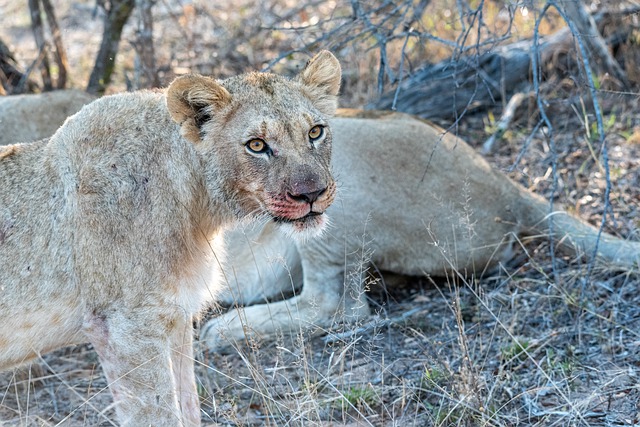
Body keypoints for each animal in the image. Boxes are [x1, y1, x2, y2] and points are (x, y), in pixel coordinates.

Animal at [0, 51, 342, 427]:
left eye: (315, 132)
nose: (311, 194)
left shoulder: (176, 315)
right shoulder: (125, 327)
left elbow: (188, 405)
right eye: (257, 145)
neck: (197, 208)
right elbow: (158, 413)